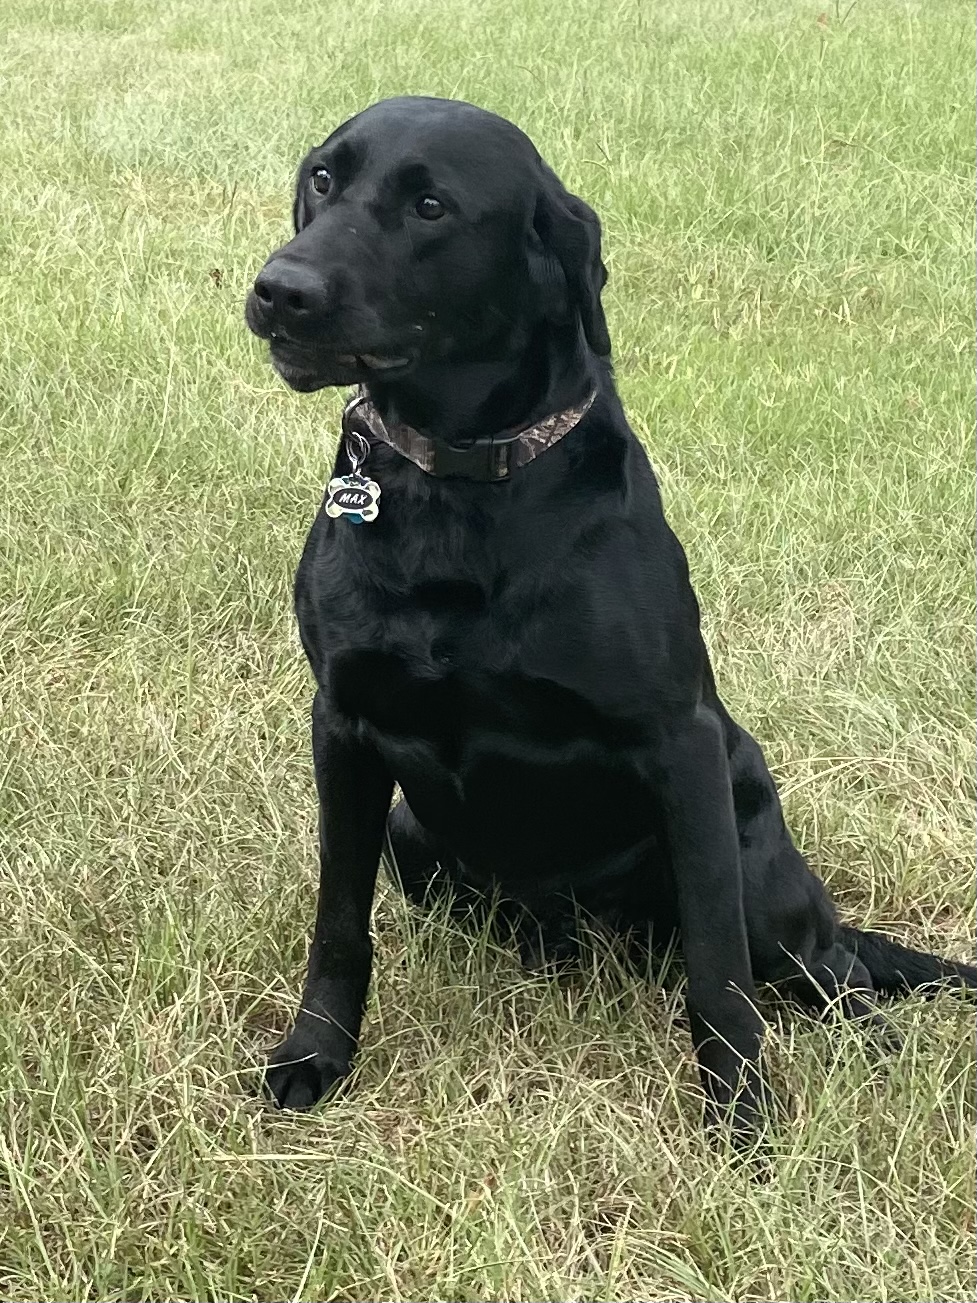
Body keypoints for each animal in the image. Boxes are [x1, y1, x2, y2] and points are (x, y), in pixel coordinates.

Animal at [246, 96, 977, 1136]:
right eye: (322, 178)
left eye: (430, 205)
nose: (280, 289)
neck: (460, 487)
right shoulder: (342, 726)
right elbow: (338, 923)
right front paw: (314, 1053)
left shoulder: (680, 743)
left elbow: (717, 973)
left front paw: (742, 1110)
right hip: (413, 838)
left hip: (753, 851)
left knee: (827, 972)